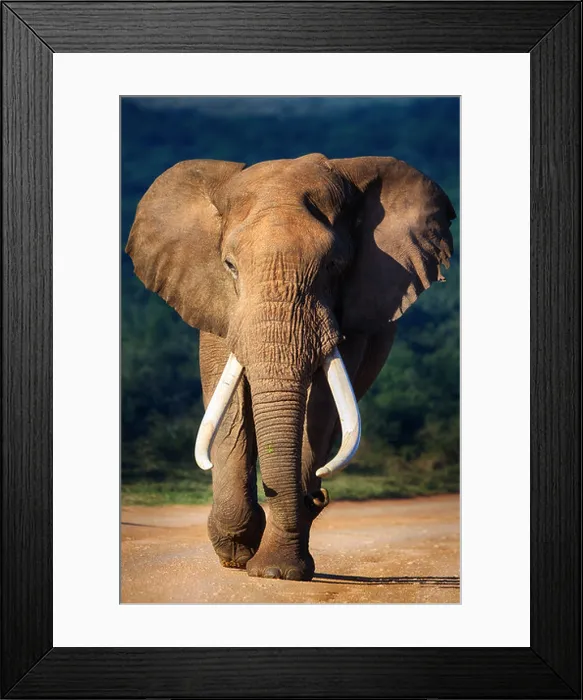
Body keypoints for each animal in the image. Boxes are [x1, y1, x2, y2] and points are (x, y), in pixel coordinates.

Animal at [126, 153, 455, 581]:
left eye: (334, 265)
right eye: (229, 265)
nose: (319, 497)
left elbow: (321, 407)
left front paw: (276, 571)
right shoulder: (214, 300)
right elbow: (228, 400)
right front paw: (239, 552)